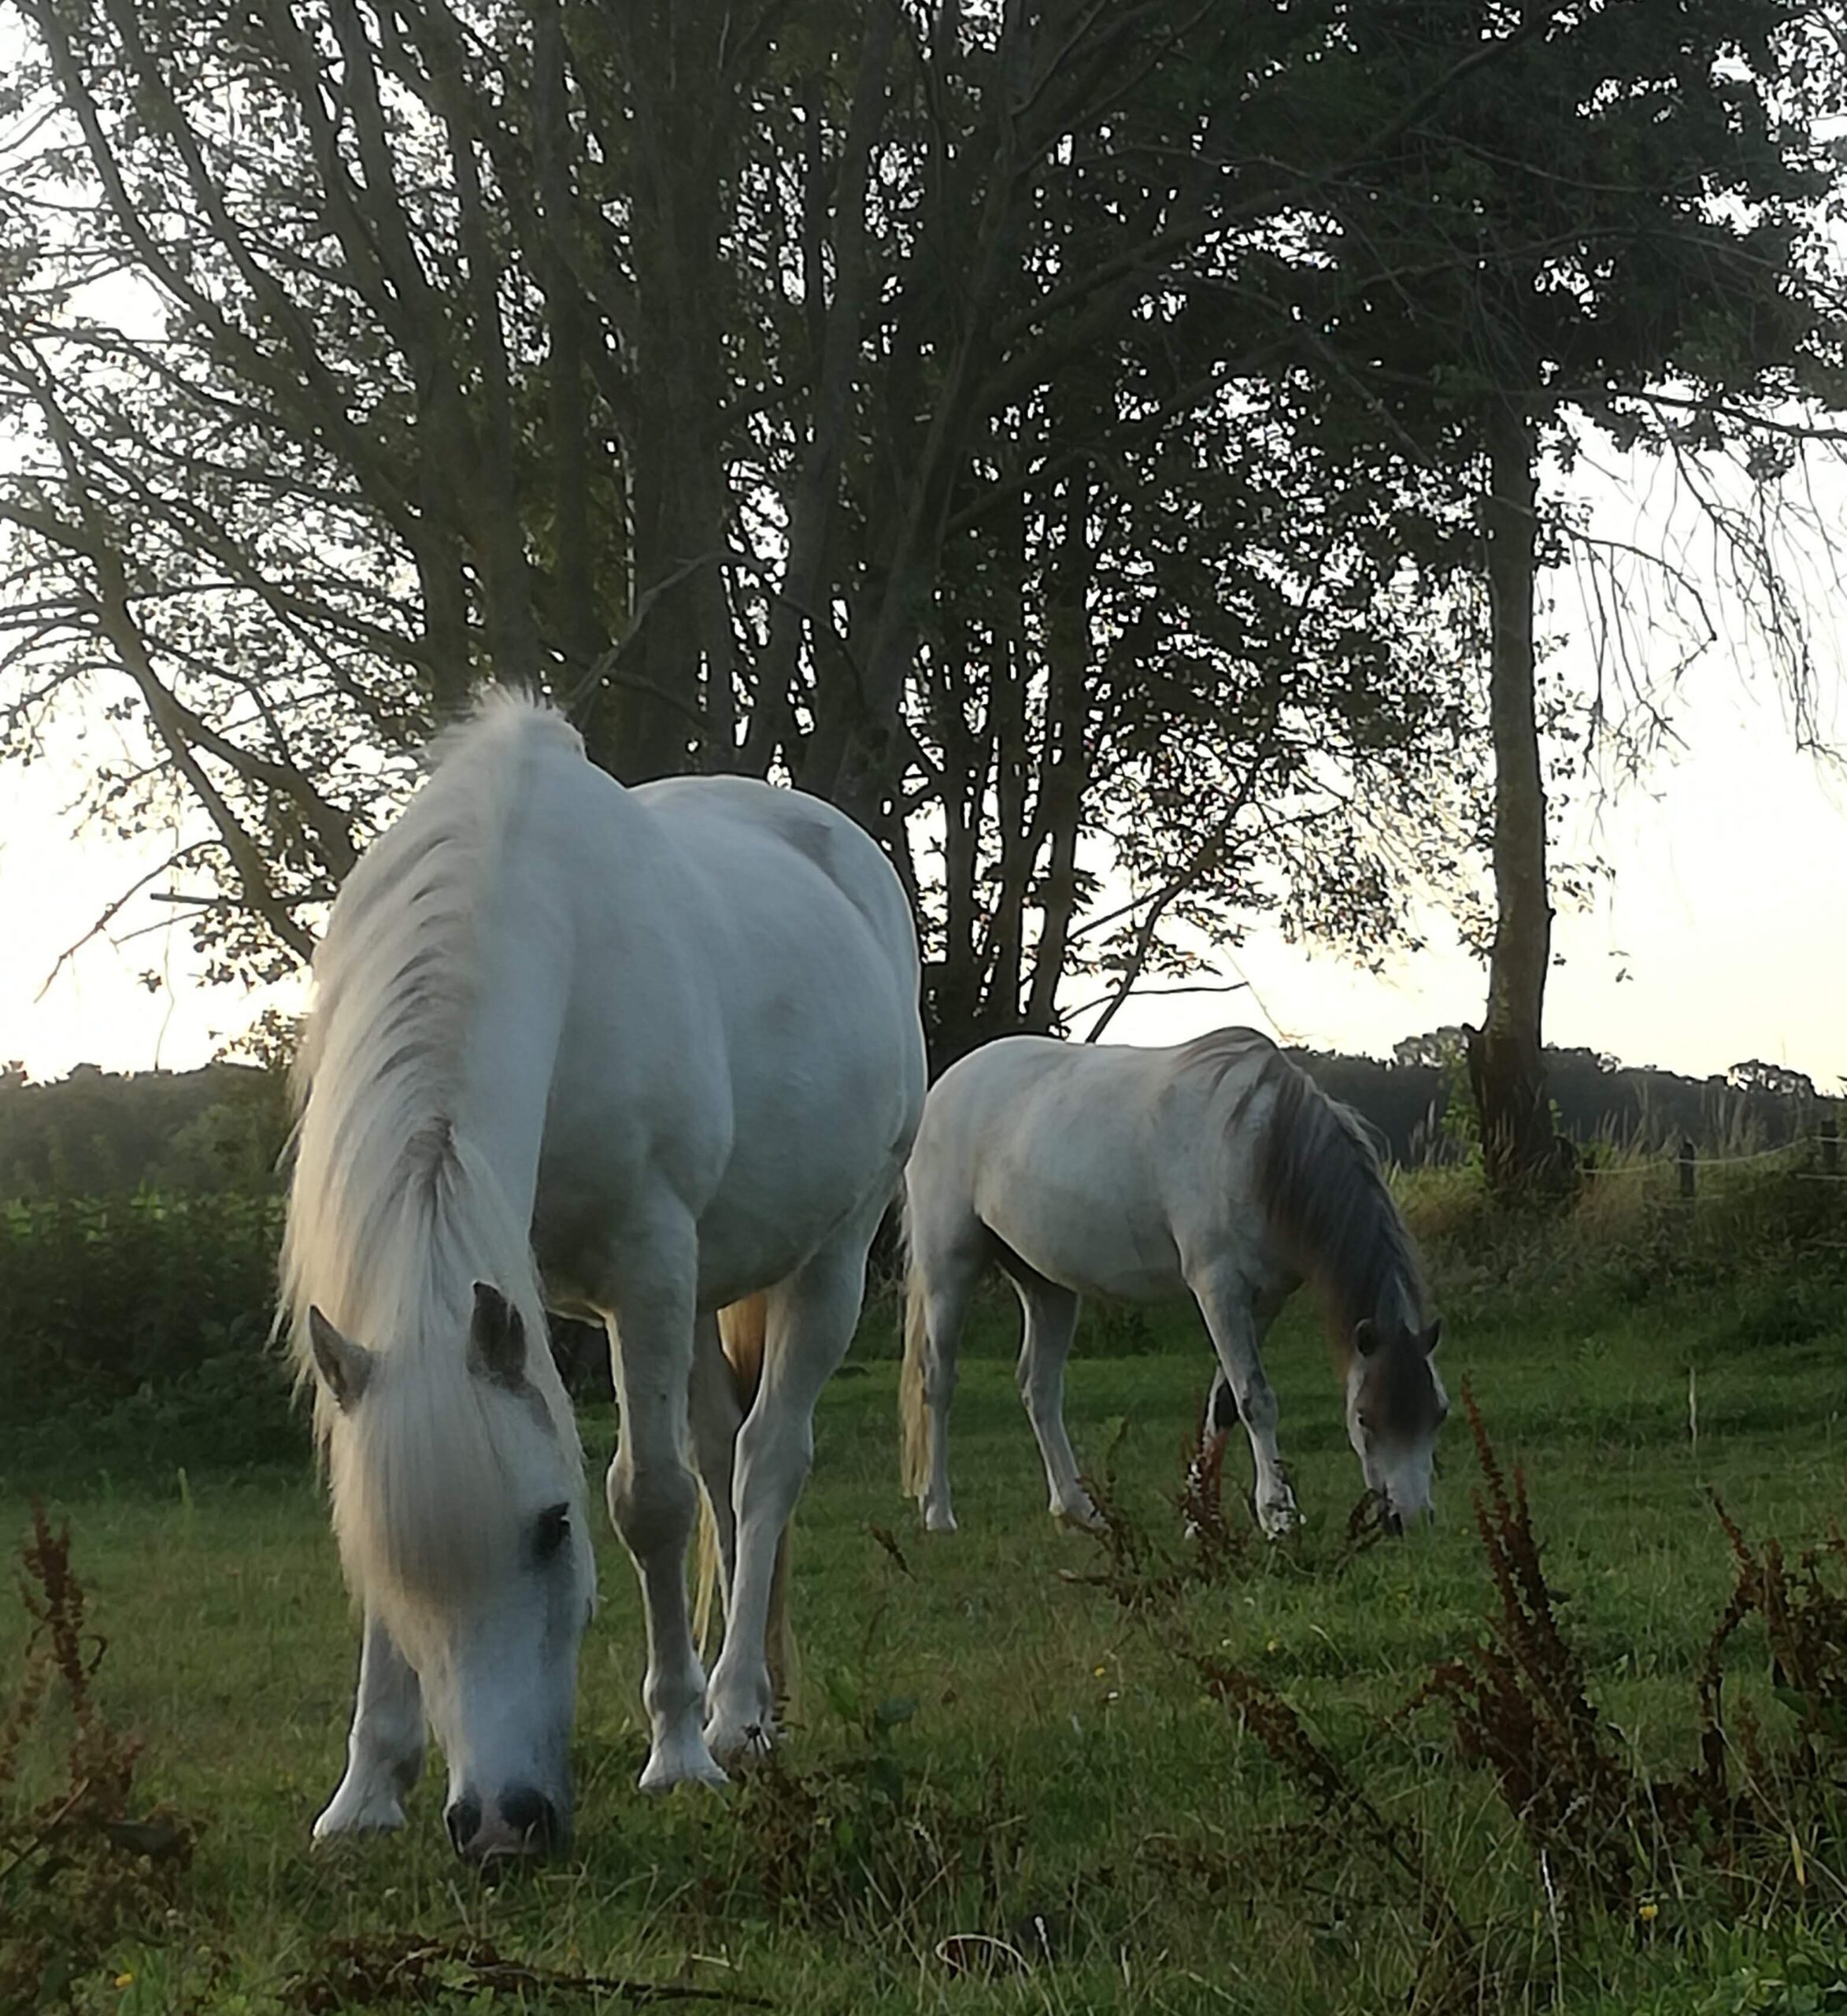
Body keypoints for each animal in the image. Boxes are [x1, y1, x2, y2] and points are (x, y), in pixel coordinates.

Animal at [284, 697, 924, 1855]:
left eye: (552, 1527)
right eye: (389, 1560)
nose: (501, 1824)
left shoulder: (649, 1267)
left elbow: (650, 1500)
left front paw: (675, 1753)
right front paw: (365, 1792)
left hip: (829, 1263)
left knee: (764, 1463)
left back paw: (730, 1715)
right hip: (715, 1283)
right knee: (723, 1459)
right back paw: (753, 1701)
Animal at [895, 1032, 1443, 1532]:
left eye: (1438, 1412)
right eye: (1365, 1418)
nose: (1411, 1520)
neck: (1260, 1145)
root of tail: (945, 1086)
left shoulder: (1264, 1299)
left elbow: (1225, 1403)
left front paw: (1202, 1519)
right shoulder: (1218, 1287)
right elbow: (1256, 1399)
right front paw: (1278, 1515)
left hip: (1047, 1284)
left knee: (1039, 1386)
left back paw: (1078, 1510)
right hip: (949, 1267)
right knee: (937, 1380)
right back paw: (939, 1513)